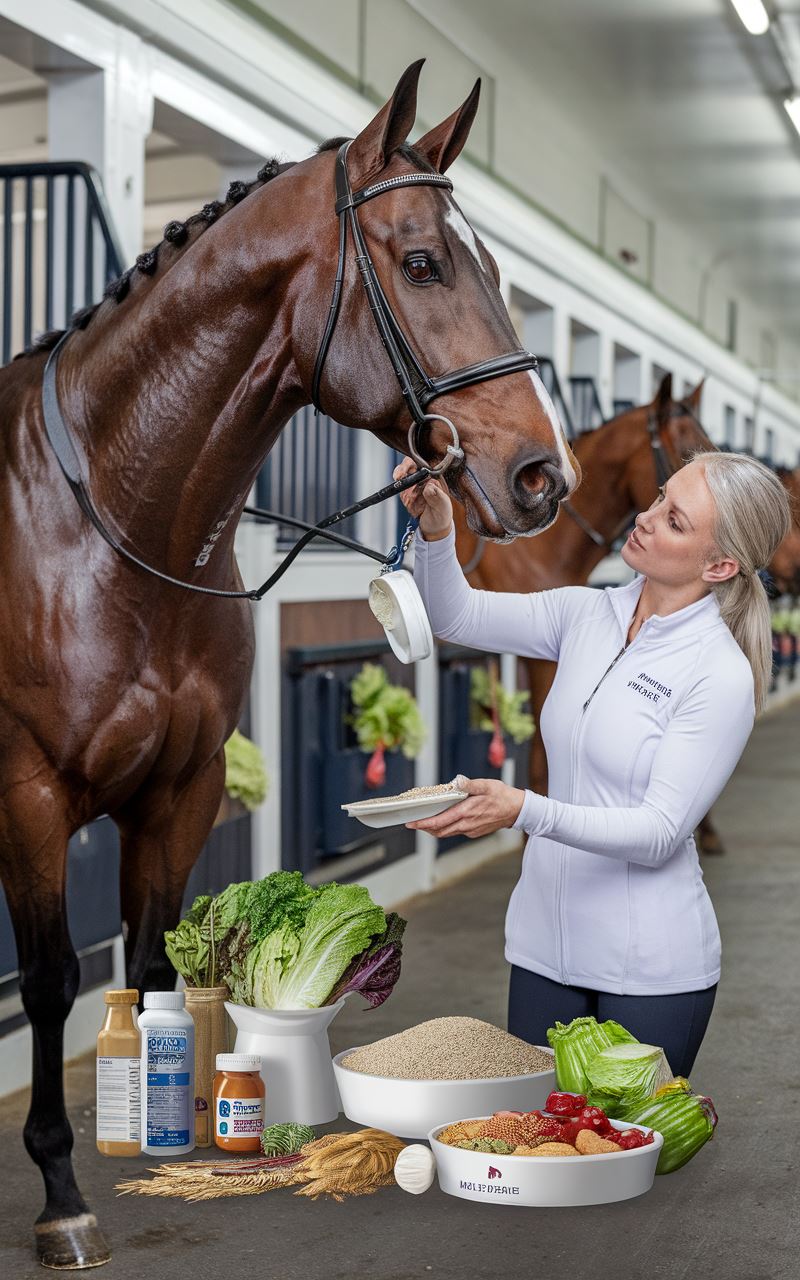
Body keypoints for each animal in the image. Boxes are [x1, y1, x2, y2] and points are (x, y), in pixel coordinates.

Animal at [0, 62, 576, 1269]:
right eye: (422, 261)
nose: (542, 476)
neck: (105, 522)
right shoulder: (28, 794)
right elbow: (50, 977)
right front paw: (62, 1193)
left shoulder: (182, 790)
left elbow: (154, 965)